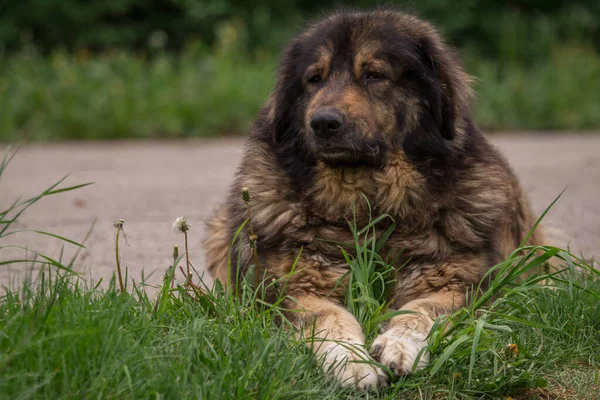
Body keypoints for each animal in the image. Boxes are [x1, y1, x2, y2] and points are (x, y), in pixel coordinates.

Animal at [203, 7, 544, 392]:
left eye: (373, 75)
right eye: (314, 79)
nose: (323, 122)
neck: (367, 208)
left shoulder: (458, 285)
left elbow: (419, 312)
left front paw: (400, 346)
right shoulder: (292, 289)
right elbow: (330, 317)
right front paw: (353, 362)